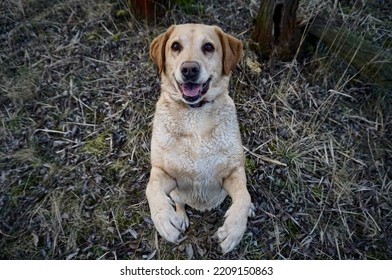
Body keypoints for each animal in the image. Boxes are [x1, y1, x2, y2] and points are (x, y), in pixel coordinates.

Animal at [147, 23, 254, 253]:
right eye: (175, 46)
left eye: (208, 47)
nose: (189, 69)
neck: (194, 116)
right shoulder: (164, 173)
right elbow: (151, 189)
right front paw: (164, 219)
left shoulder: (233, 172)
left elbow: (243, 196)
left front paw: (234, 229)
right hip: (176, 192)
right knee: (179, 201)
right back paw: (179, 216)